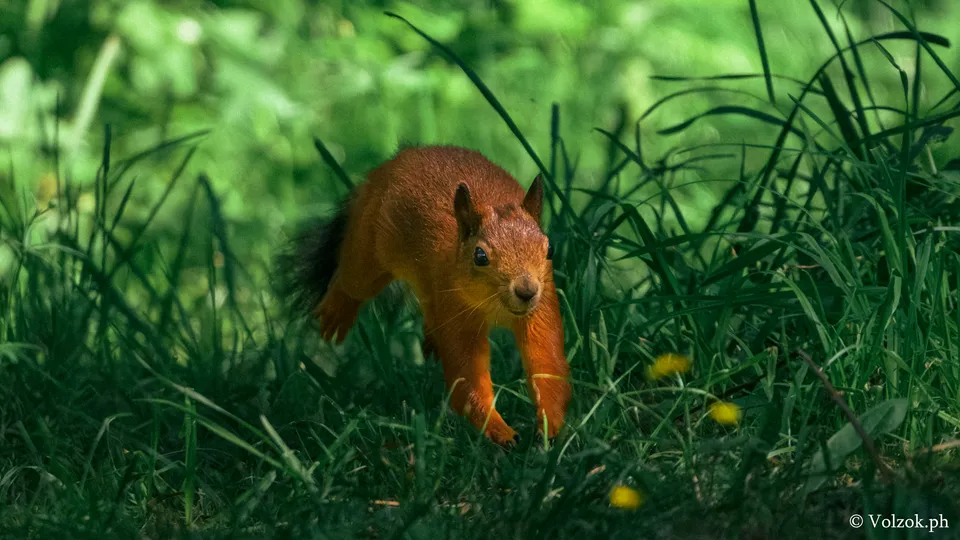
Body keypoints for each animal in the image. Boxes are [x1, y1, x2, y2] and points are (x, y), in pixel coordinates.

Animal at [278, 145, 571, 448]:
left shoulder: (541, 307)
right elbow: (468, 377)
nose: (527, 291)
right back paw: (337, 312)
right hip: (367, 248)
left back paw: (432, 340)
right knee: (352, 282)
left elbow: (546, 363)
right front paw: (499, 431)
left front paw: (549, 426)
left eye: (549, 249)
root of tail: (396, 161)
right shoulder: (456, 308)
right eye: (480, 256)